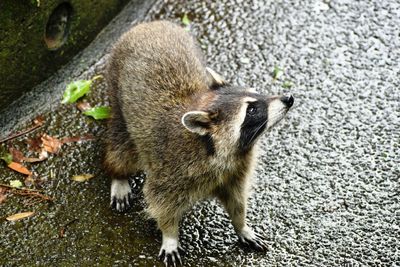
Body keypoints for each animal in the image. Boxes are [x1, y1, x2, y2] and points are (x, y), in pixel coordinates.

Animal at [103, 20, 294, 266]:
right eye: (251, 110)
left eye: (257, 93)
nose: (289, 98)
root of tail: (148, 24)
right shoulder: (171, 168)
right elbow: (160, 201)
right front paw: (170, 235)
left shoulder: (237, 168)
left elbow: (236, 199)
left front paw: (241, 224)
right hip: (117, 94)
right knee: (121, 148)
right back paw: (118, 174)